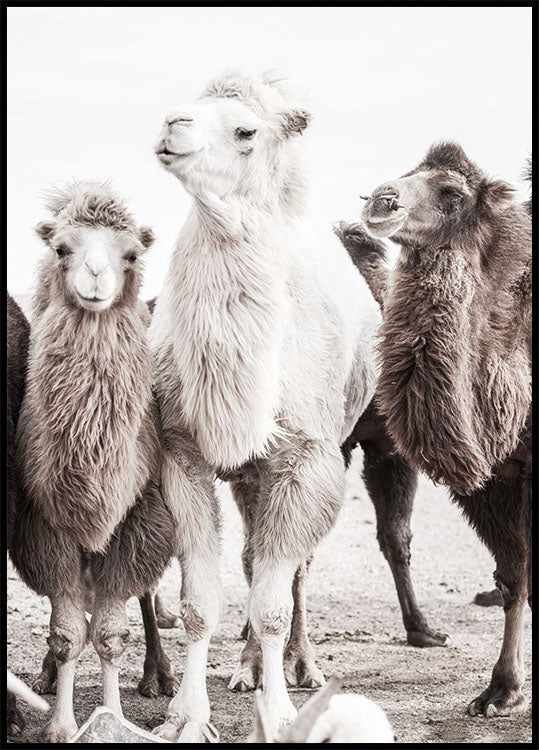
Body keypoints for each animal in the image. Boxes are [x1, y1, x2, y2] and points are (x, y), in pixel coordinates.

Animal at [11, 182, 179, 742]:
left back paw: (159, 675)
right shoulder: (43, 524)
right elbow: (67, 636)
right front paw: (61, 725)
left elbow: (109, 635)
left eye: (131, 254)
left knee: (147, 595)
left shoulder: (137, 518)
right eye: (63, 248)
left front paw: (114, 717)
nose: (96, 276)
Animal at [148, 70, 381, 740]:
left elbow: (277, 601)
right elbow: (200, 603)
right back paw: (246, 668)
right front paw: (187, 716)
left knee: (293, 569)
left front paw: (278, 716)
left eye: (246, 130)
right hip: (250, 473)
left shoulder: (306, 458)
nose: (172, 123)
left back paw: (299, 668)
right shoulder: (183, 454)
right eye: (192, 106)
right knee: (254, 558)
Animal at [361, 141, 531, 717]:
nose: (382, 199)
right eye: (409, 171)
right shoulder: (495, 478)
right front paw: (500, 690)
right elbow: (514, 576)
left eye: (452, 192)